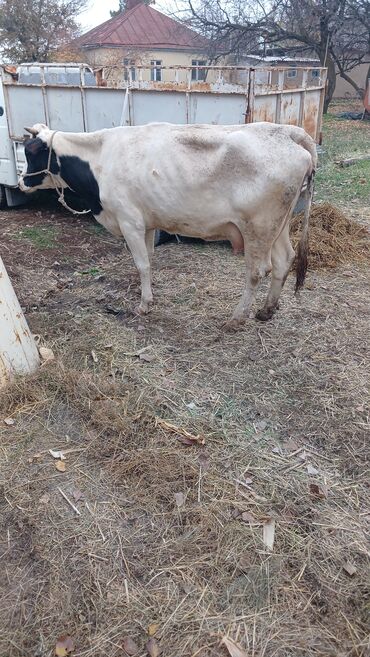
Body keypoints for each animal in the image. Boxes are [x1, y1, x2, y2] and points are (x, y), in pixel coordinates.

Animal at [18, 121, 316, 326]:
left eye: (31, 151)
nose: (21, 182)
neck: (100, 161)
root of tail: (288, 132)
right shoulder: (148, 223)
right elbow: (149, 260)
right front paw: (149, 295)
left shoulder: (130, 221)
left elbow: (141, 263)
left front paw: (144, 305)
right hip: (278, 225)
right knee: (284, 259)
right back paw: (267, 310)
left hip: (258, 227)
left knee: (258, 271)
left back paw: (236, 318)